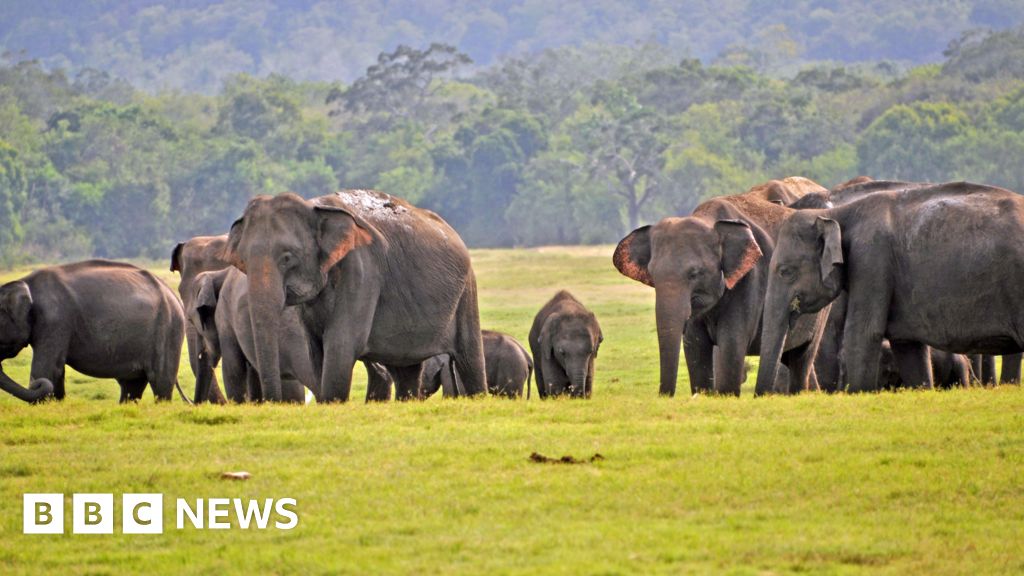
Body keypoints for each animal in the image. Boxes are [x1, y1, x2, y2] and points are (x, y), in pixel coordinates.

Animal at [0, 260, 185, 403]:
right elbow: (57, 371)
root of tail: (173, 295)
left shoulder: (54, 321)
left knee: (161, 384)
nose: (37, 384)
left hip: (168, 331)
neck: (25, 283)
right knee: (132, 386)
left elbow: (45, 369)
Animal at [224, 189, 487, 402]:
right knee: (406, 371)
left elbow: (341, 343)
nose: (271, 401)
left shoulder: (362, 271)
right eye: (242, 260)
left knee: (469, 359)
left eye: (287, 257)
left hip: (466, 291)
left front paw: (332, 403)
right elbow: (316, 349)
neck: (313, 206)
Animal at [613, 177, 831, 397]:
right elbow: (695, 346)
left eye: (695, 273)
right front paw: (703, 394)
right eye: (653, 275)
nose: (665, 396)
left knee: (802, 357)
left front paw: (725, 395)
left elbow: (731, 344)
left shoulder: (749, 281)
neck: (708, 219)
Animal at [756, 181, 1024, 394]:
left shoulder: (872, 260)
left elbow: (862, 333)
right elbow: (907, 346)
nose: (763, 397)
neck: (837, 214)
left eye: (785, 271)